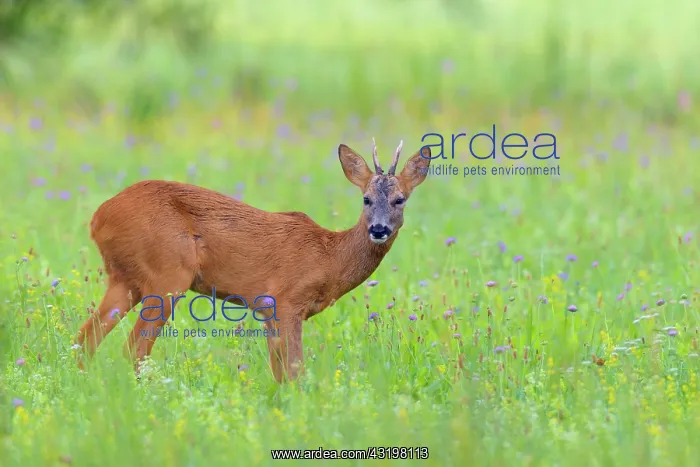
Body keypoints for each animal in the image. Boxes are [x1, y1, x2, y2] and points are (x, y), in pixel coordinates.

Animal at [74, 139, 431, 382]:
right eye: (366, 199)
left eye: (400, 199)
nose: (379, 229)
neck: (328, 257)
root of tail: (98, 217)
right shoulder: (286, 299)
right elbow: (296, 370)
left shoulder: (268, 311)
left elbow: (280, 372)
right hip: (168, 275)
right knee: (133, 348)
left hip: (125, 279)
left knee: (85, 337)